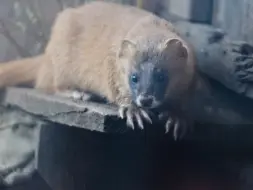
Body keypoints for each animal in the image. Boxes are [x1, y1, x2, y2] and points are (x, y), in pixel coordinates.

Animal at [0, 1, 196, 140]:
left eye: (161, 76)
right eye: (133, 76)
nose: (145, 99)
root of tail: (46, 55)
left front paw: (176, 117)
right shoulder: (110, 68)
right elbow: (115, 90)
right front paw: (134, 111)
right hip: (60, 64)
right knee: (49, 85)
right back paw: (78, 93)